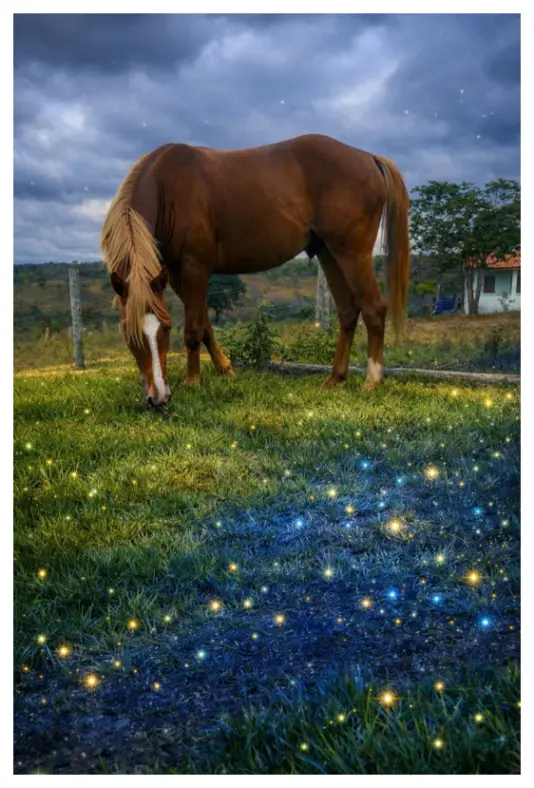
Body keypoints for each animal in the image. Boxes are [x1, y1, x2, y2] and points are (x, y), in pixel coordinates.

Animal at [100, 134, 410, 406]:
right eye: (128, 333)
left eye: (165, 329)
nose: (159, 397)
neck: (169, 186)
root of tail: (368, 158)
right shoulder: (174, 274)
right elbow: (206, 325)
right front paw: (225, 369)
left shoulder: (194, 267)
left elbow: (193, 328)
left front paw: (193, 382)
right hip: (329, 253)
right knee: (347, 311)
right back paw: (335, 378)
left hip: (352, 254)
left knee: (374, 308)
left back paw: (372, 380)